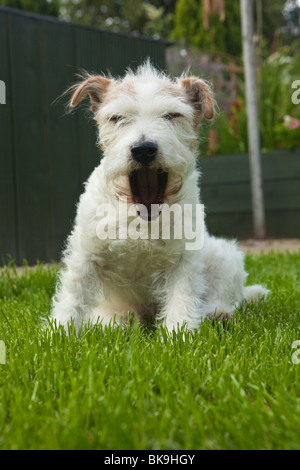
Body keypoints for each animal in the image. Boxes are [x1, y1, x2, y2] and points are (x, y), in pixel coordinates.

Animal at [52, 62, 270, 332]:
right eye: (117, 118)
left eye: (171, 115)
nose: (143, 149)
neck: (141, 221)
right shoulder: (86, 255)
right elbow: (73, 297)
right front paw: (58, 332)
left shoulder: (183, 260)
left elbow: (181, 298)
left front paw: (178, 333)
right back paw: (115, 321)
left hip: (225, 256)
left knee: (223, 295)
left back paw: (217, 313)